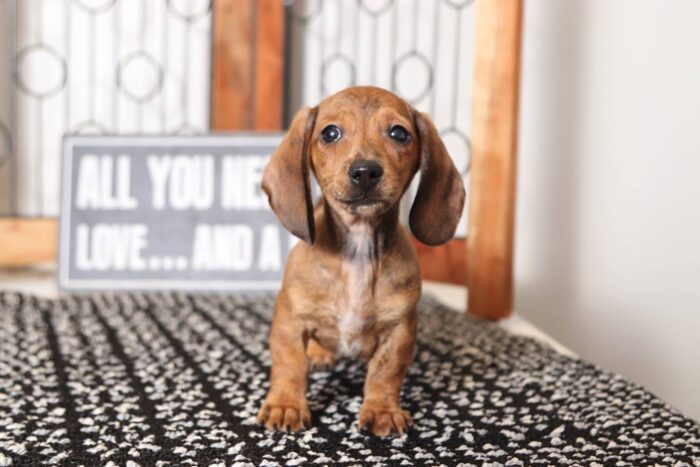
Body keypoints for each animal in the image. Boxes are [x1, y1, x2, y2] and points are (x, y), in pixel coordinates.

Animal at [258, 86, 464, 436]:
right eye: (330, 133)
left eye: (399, 133)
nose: (365, 171)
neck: (359, 248)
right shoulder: (289, 320)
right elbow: (289, 364)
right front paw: (286, 405)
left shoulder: (400, 330)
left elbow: (385, 373)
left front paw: (382, 410)